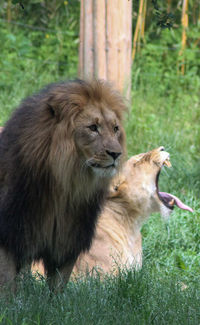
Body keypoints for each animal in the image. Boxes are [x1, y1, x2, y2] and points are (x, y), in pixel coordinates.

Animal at [0, 79, 126, 288]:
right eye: (93, 127)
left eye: (115, 129)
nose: (116, 154)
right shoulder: (10, 232)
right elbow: (7, 285)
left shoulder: (68, 241)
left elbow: (57, 289)